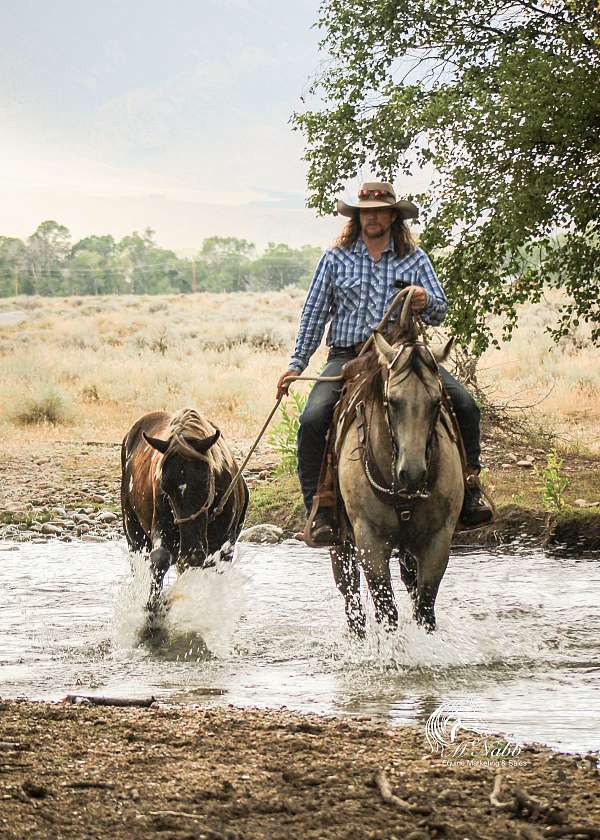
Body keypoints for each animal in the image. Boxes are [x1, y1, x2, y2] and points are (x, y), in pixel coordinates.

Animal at [120, 406, 247, 612]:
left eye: (205, 480)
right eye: (165, 486)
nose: (191, 551)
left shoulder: (224, 546)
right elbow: (160, 558)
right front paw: (154, 606)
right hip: (133, 533)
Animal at [330, 306, 462, 636]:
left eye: (437, 402)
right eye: (391, 401)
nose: (412, 474)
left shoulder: (438, 540)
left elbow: (425, 607)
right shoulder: (370, 541)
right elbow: (386, 609)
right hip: (340, 542)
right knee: (350, 594)